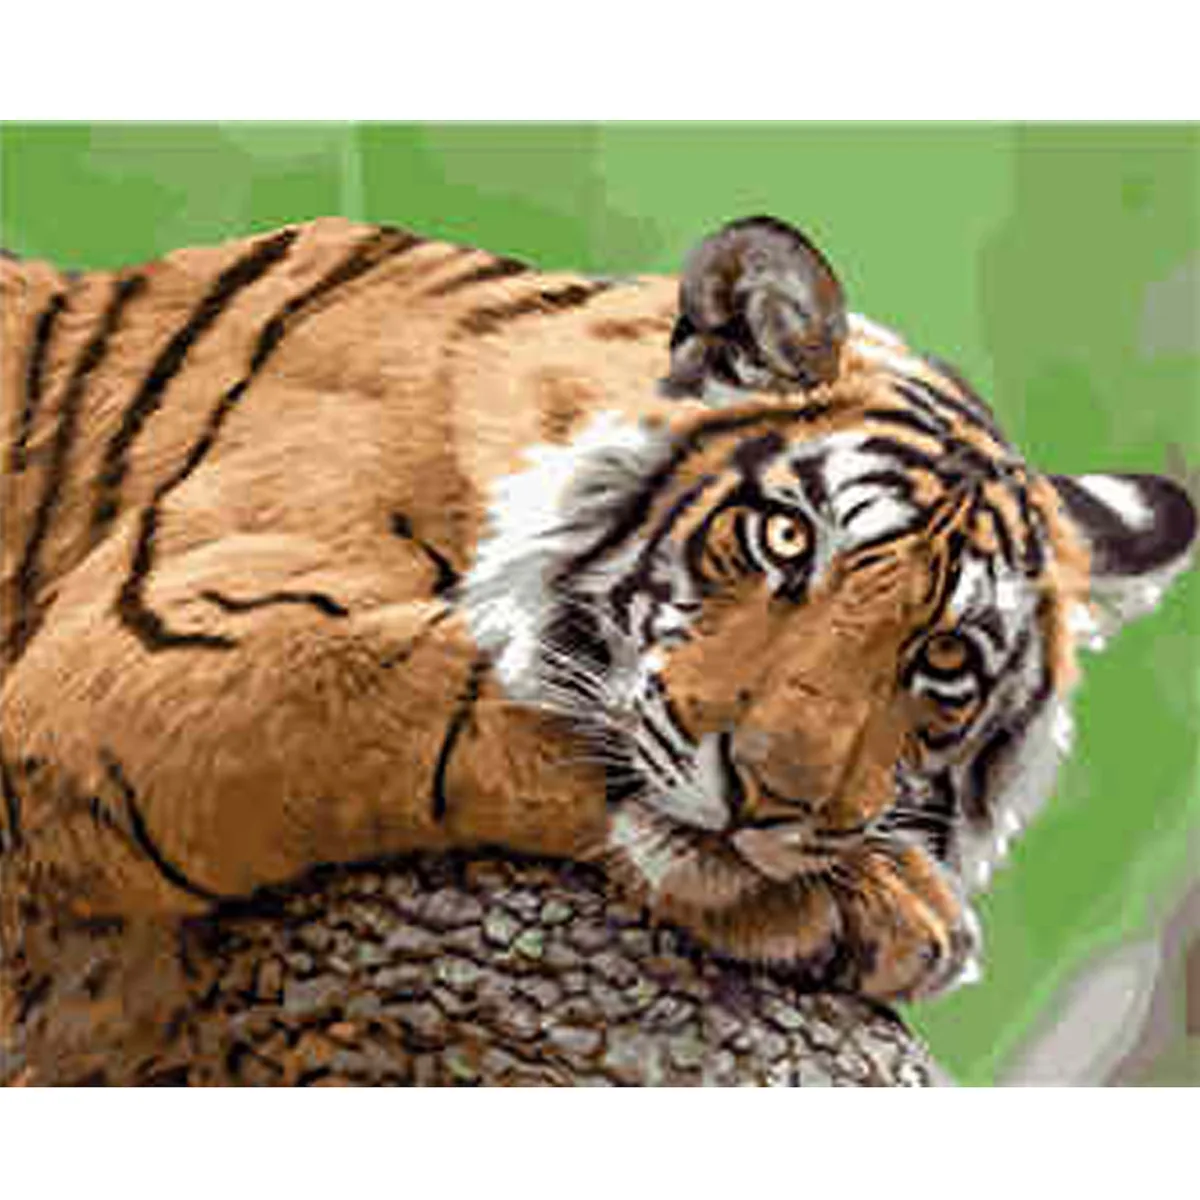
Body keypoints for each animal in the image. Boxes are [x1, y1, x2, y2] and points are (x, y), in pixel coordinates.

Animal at [0, 214, 1194, 1004]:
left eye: (944, 660)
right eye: (786, 538)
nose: (772, 800)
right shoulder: (143, 646)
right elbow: (474, 686)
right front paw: (892, 897)